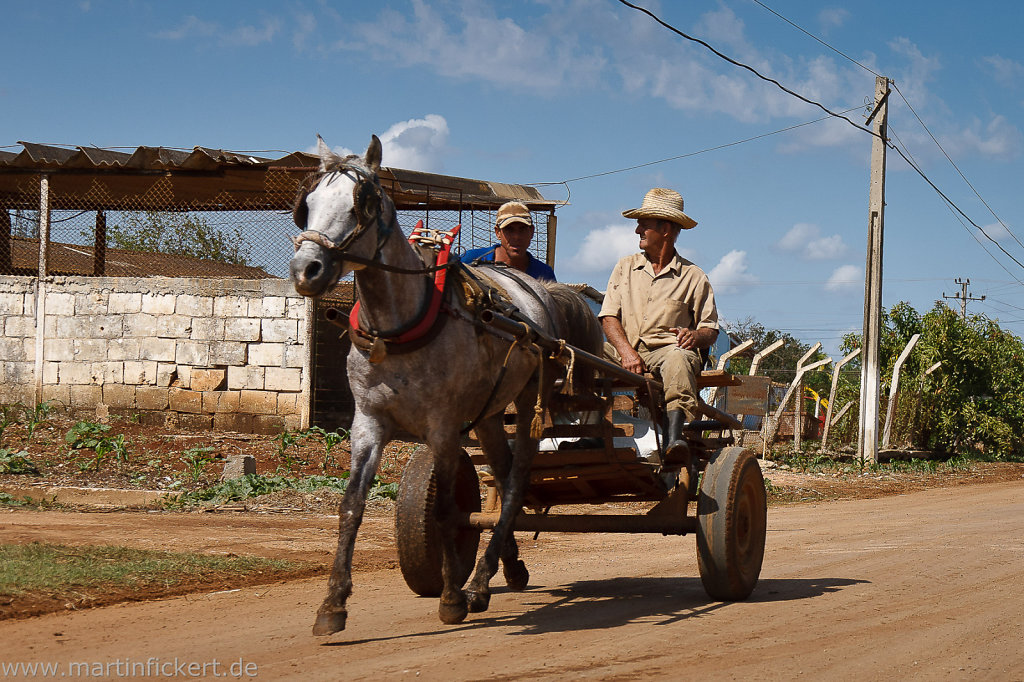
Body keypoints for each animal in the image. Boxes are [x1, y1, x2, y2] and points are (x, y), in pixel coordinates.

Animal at [288, 135, 602, 634]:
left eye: (362, 204)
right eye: (308, 205)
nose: (307, 270)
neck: (400, 329)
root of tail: (538, 290)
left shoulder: (442, 426)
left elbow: (445, 510)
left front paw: (452, 597)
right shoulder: (368, 423)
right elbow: (351, 506)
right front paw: (332, 605)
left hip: (527, 399)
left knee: (516, 480)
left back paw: (477, 582)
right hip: (490, 414)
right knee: (500, 472)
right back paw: (503, 569)